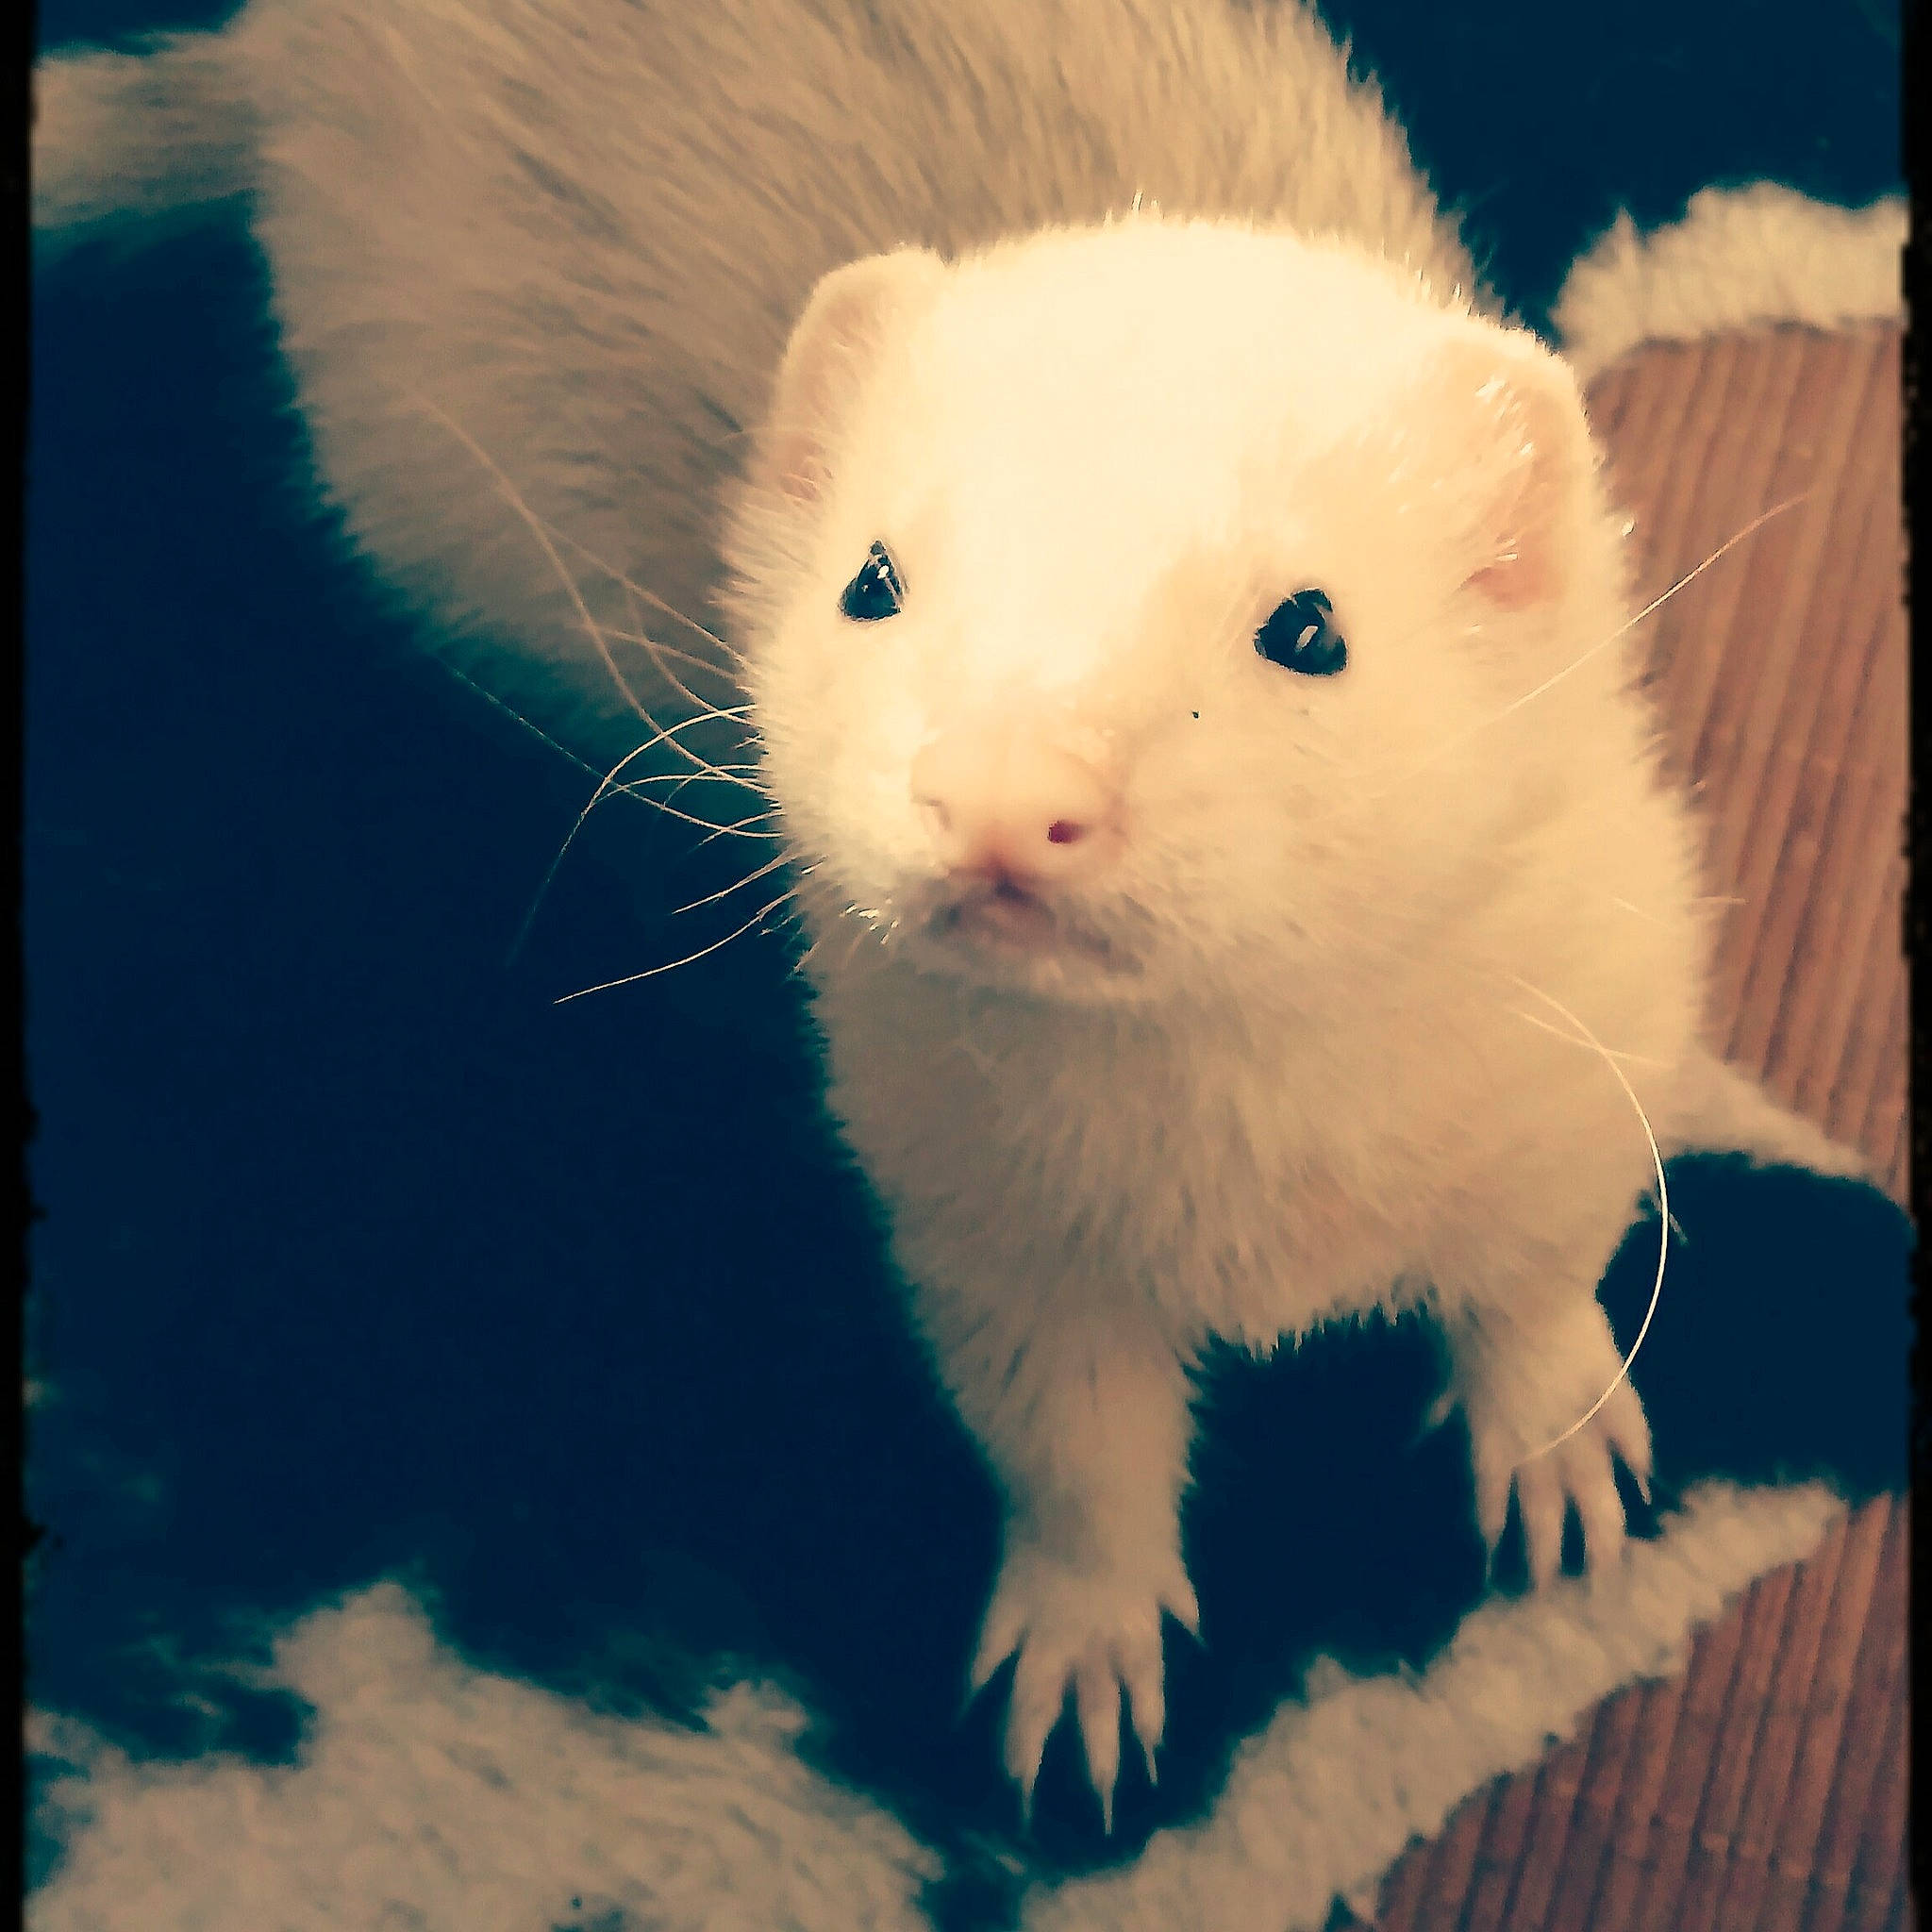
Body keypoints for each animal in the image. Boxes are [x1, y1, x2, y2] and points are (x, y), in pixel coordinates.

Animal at [35, 0, 1867, 1828]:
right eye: (871, 577)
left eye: (1309, 623)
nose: (999, 787)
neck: (1241, 1189)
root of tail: (286, 68)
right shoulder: (979, 1222)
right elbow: (1069, 1452)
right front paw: (1082, 1656)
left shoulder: (1589, 1054)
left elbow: (1543, 1274)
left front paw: (1558, 1442)